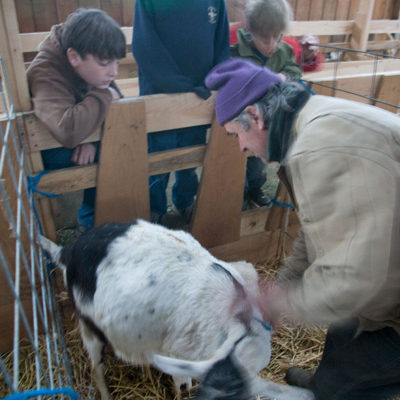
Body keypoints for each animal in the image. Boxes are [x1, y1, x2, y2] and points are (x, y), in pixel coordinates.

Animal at [40, 219, 316, 400]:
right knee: (96, 367)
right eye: (220, 391)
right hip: (89, 324)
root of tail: (68, 250)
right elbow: (181, 386)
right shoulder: (178, 353)